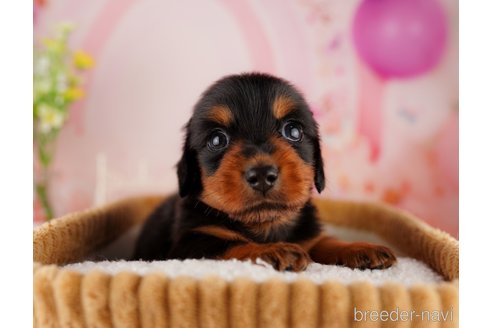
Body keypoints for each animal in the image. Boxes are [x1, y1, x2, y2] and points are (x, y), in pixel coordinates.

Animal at [133, 73, 394, 270]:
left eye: (293, 131)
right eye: (217, 140)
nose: (261, 176)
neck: (264, 224)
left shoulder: (307, 235)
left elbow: (324, 241)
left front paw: (360, 247)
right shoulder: (192, 244)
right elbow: (232, 244)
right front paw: (273, 250)